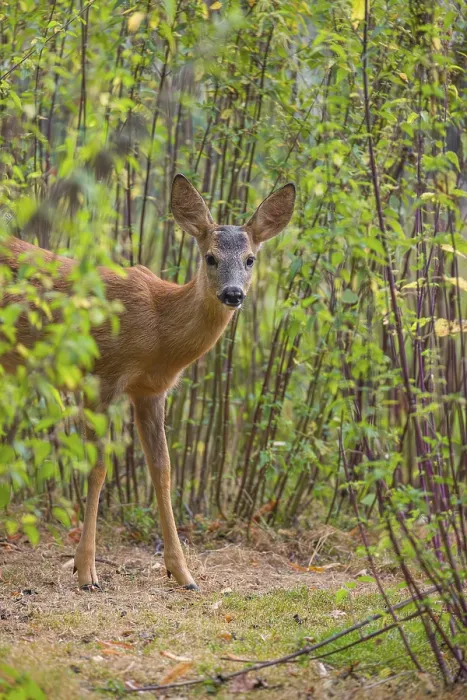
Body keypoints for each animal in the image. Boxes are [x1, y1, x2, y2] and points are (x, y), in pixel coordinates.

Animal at [0, 174, 295, 591]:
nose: (233, 293)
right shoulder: (100, 375)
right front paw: (86, 571)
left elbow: (163, 470)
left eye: (250, 258)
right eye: (210, 257)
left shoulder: (152, 391)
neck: (159, 328)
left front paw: (183, 573)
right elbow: (98, 468)